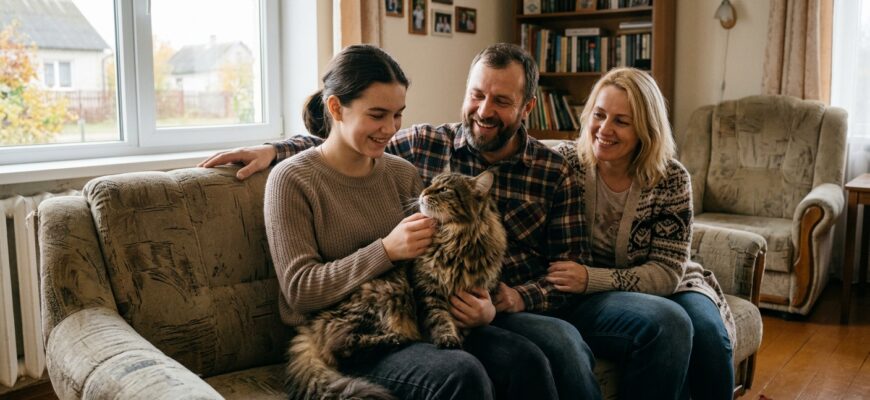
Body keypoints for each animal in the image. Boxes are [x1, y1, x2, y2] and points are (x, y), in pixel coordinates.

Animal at [284, 171, 506, 400]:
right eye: (431, 184)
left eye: (444, 189)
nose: (423, 193)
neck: (456, 241)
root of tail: (311, 325)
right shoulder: (428, 291)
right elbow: (440, 319)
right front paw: (447, 339)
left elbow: (465, 326)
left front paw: (460, 337)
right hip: (381, 296)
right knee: (342, 349)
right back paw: (394, 339)